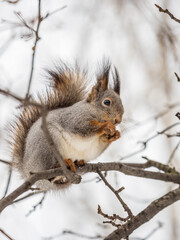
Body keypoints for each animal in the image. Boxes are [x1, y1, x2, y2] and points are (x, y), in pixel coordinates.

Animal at [9, 61, 124, 190]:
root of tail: (26, 169)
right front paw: (105, 126)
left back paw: (77, 162)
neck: (93, 110)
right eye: (107, 102)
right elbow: (83, 128)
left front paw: (115, 135)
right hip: (46, 147)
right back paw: (62, 164)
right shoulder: (74, 119)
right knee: (50, 170)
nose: (118, 120)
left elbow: (101, 143)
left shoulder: (96, 144)